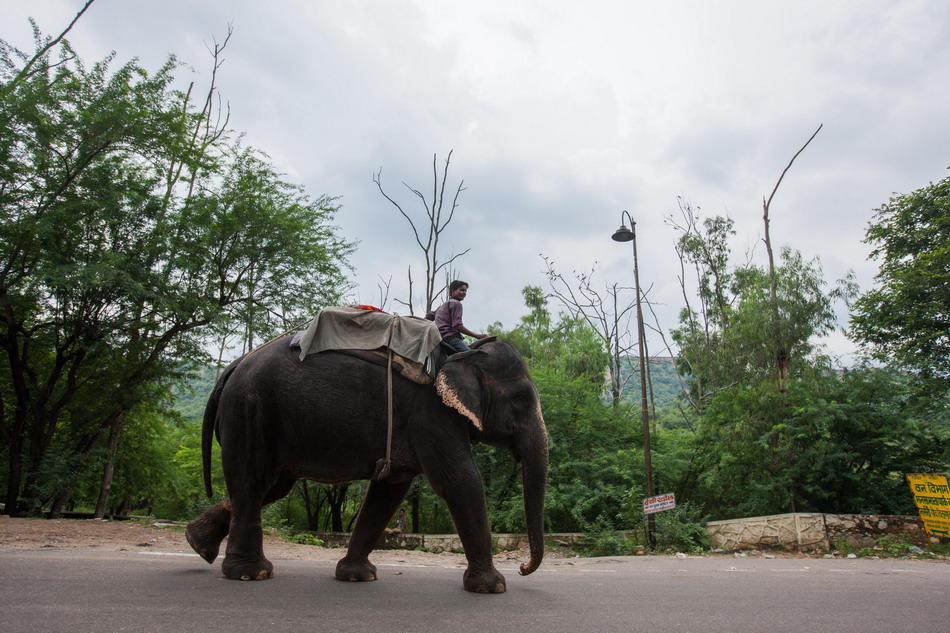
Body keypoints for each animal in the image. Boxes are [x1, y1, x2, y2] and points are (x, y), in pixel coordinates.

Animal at [184, 336, 552, 592]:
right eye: (521, 399)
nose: (522, 566)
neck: (462, 354)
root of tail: (233, 367)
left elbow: (389, 490)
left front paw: (357, 577)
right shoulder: (431, 413)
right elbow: (459, 479)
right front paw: (493, 587)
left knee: (270, 488)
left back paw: (197, 543)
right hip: (250, 410)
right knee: (253, 481)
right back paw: (251, 574)